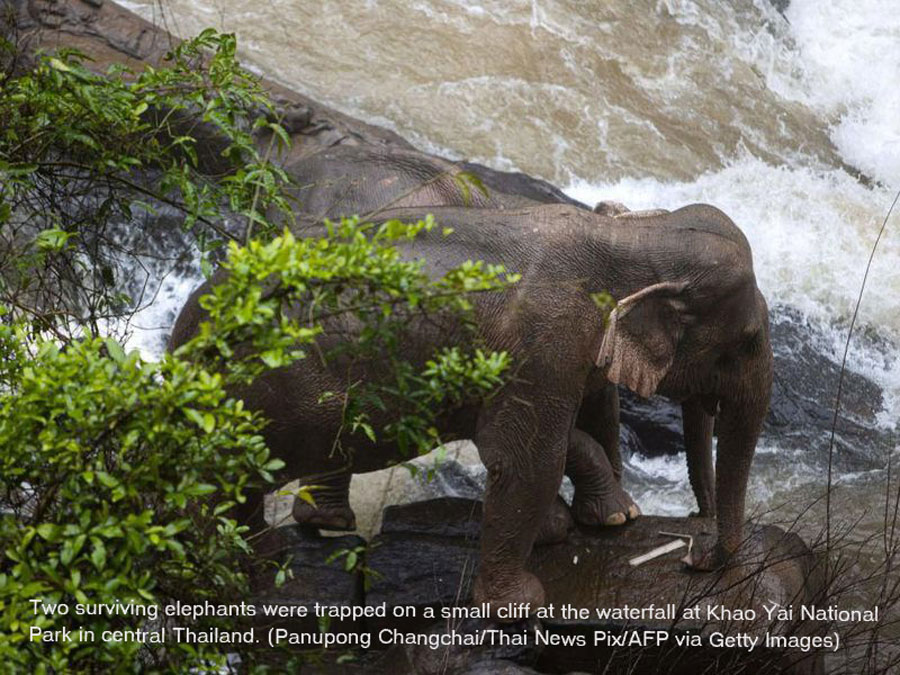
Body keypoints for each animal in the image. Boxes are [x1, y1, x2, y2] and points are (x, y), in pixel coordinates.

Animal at [171, 202, 772, 612]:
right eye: (746, 341)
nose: (693, 554)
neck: (631, 236)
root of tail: (183, 333)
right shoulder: (543, 342)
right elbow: (525, 458)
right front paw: (520, 605)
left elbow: (556, 434)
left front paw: (593, 521)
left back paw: (294, 541)